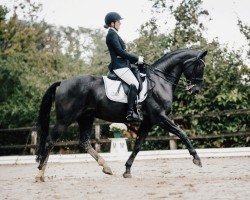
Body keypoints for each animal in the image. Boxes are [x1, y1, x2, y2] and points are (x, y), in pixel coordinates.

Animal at [34, 48, 207, 181]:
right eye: (200, 66)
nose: (196, 90)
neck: (160, 80)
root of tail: (62, 82)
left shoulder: (148, 121)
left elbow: (138, 145)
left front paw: (127, 170)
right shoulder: (160, 117)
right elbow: (181, 133)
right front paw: (197, 159)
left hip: (86, 118)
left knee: (84, 142)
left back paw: (106, 167)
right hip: (65, 119)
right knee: (50, 141)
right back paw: (40, 174)